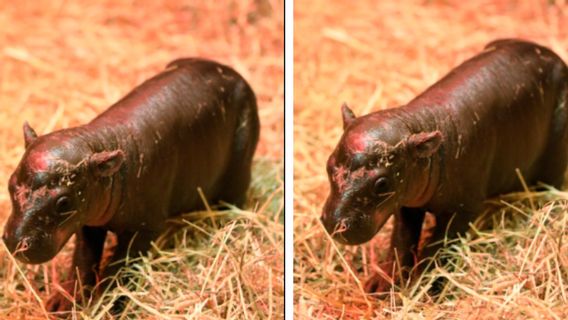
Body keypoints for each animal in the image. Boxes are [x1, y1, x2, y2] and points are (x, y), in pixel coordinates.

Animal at [1, 58, 260, 312]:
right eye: (10, 183)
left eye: (63, 202)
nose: (14, 242)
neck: (100, 145)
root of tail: (232, 72)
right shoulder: (88, 221)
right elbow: (83, 259)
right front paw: (61, 305)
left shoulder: (145, 228)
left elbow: (121, 265)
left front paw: (107, 306)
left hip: (238, 171)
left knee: (234, 200)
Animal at [322, 38, 564, 294]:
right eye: (329, 165)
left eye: (381, 183)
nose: (333, 223)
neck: (419, 125)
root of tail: (550, 53)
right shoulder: (406, 202)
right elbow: (401, 240)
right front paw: (379, 286)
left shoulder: (463, 209)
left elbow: (438, 247)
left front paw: (425, 289)